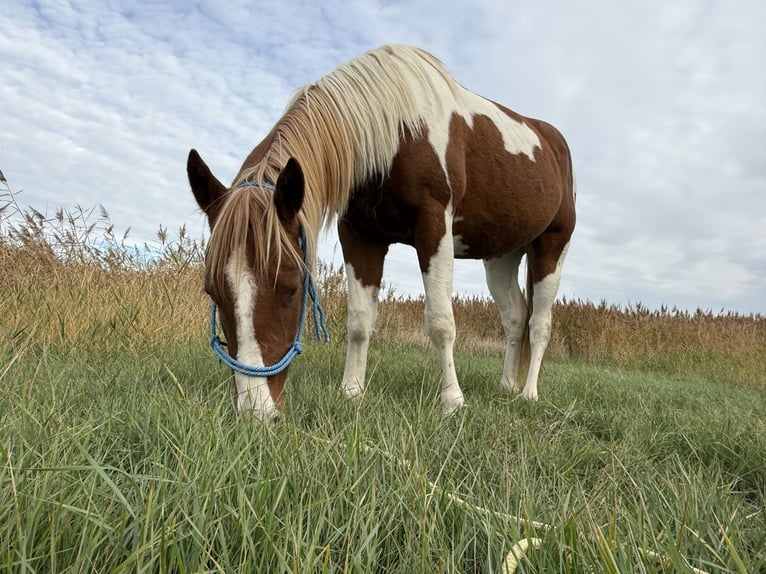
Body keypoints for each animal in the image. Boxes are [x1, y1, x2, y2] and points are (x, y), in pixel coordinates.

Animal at [187, 45, 576, 420]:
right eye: (212, 291)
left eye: (292, 288)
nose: (257, 411)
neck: (396, 131)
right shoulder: (359, 235)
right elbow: (360, 320)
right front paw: (351, 392)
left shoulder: (434, 228)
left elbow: (440, 321)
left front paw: (452, 401)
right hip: (502, 257)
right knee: (515, 317)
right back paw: (507, 386)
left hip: (552, 247)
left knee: (539, 324)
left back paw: (528, 394)